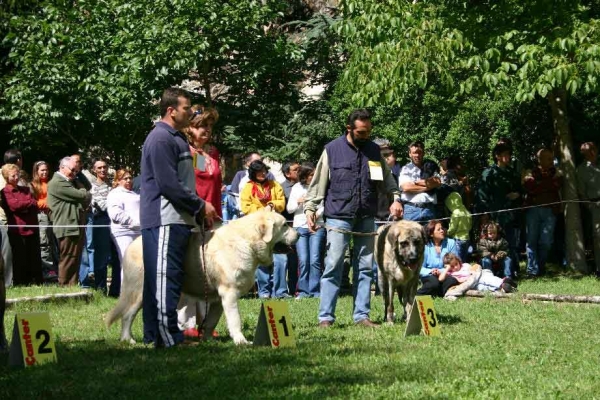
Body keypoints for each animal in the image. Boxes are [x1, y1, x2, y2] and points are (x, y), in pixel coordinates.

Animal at [106, 211, 298, 346]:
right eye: (284, 226)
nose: (298, 234)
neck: (247, 243)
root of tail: (131, 245)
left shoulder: (218, 299)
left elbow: (211, 322)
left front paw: (208, 340)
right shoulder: (229, 293)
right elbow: (235, 320)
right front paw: (241, 341)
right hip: (139, 292)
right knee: (127, 315)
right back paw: (128, 340)